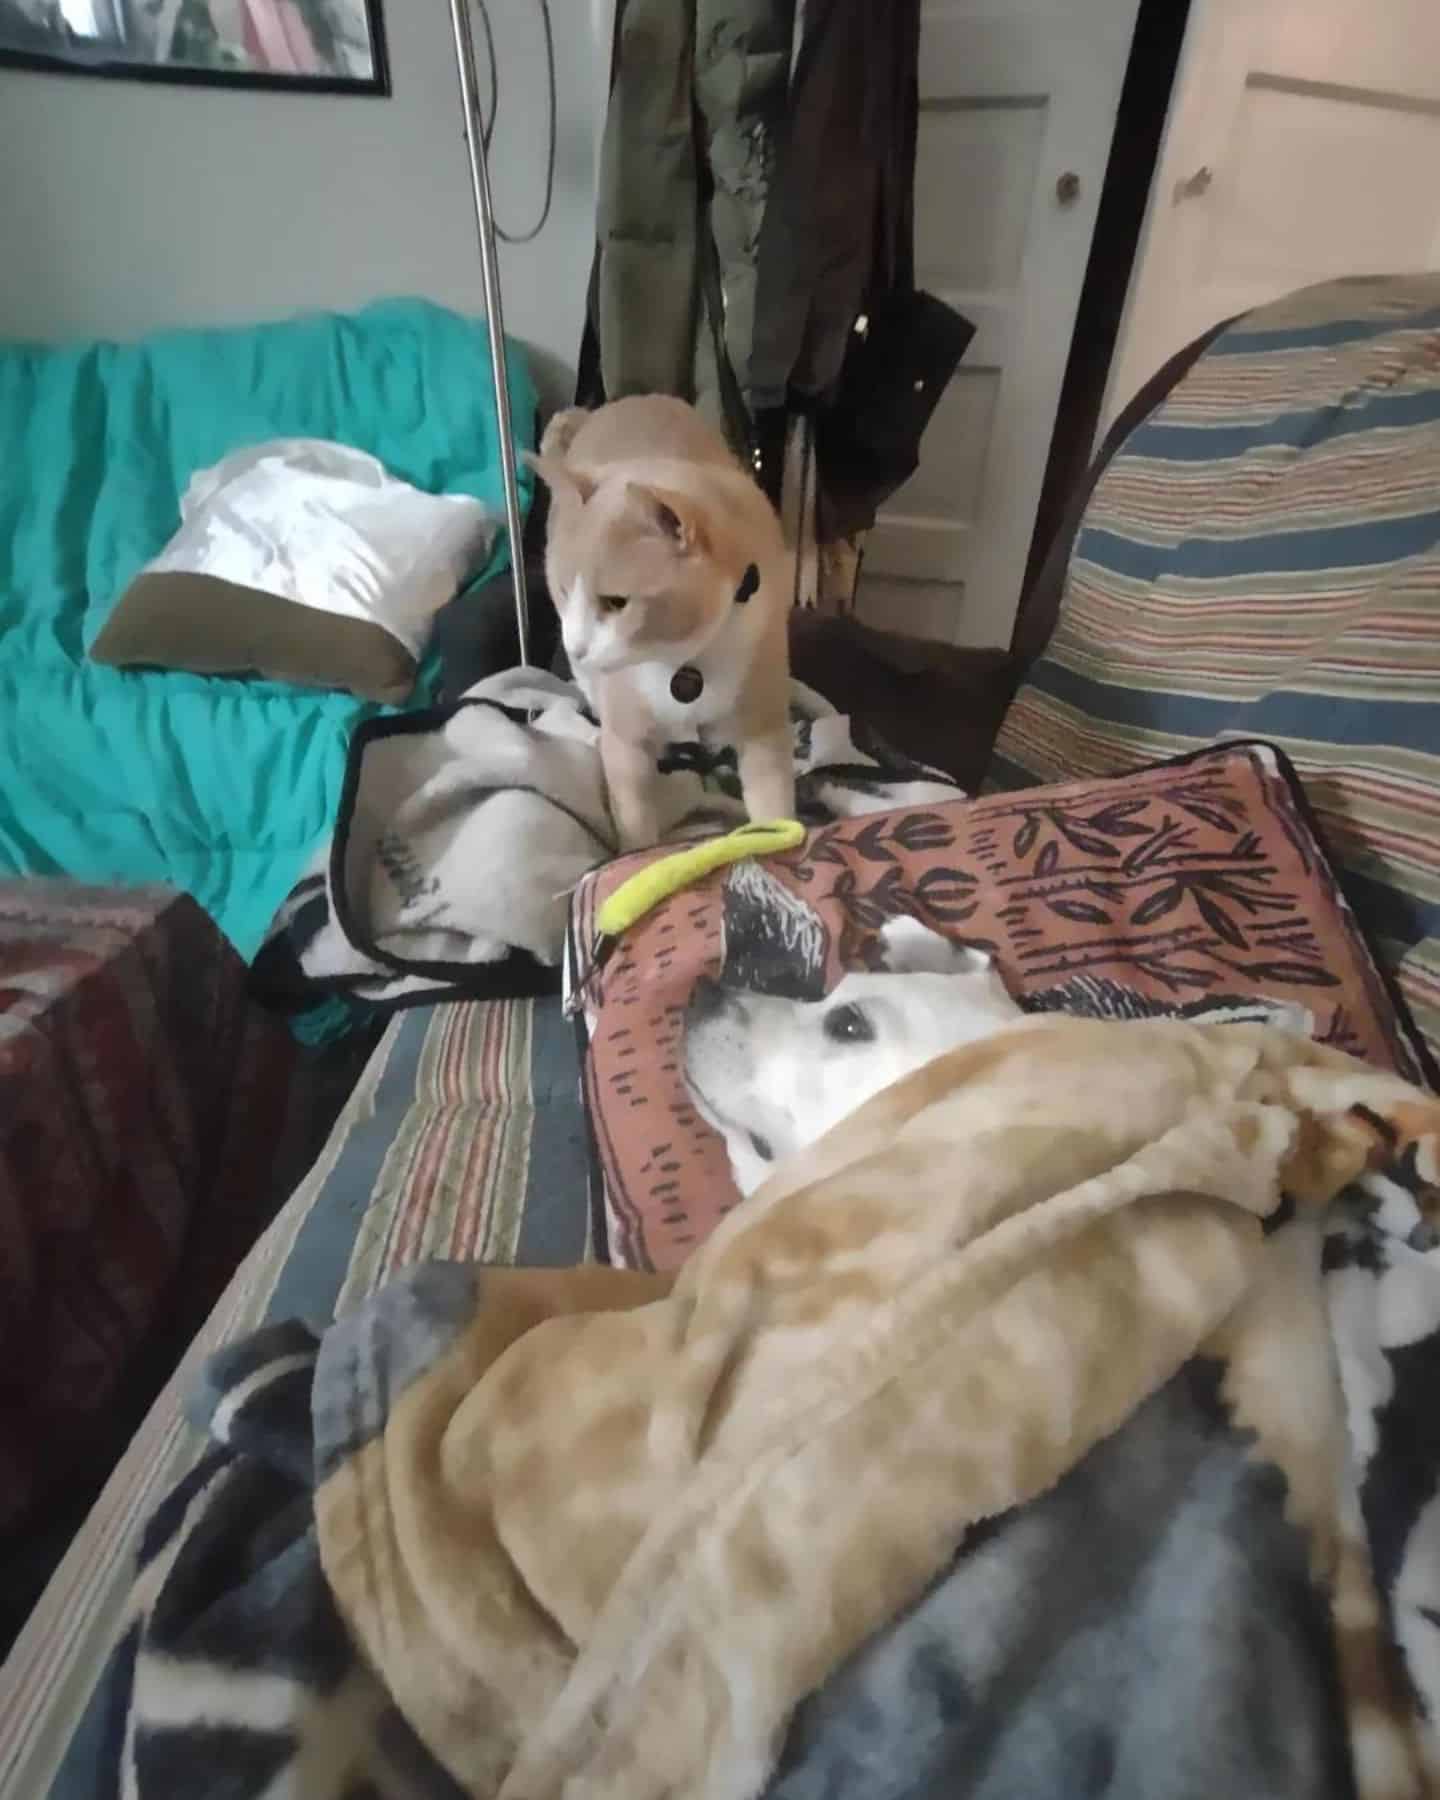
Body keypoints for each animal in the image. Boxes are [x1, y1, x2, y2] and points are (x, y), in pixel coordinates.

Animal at [522, 394, 792, 849]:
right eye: (562, 589)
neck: (685, 664)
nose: (576, 647)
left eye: (615, 602)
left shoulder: (763, 728)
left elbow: (774, 807)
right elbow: (635, 824)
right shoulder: (626, 746)